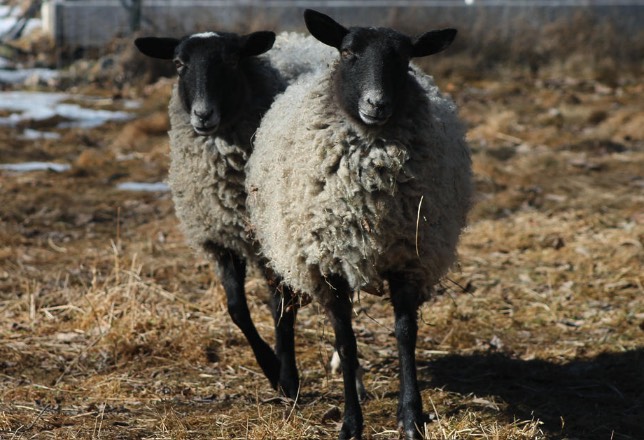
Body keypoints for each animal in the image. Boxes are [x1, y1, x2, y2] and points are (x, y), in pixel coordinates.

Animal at [247, 9, 472, 436]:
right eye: (349, 52)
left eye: (404, 58)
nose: (376, 103)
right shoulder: (327, 263)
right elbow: (346, 340)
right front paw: (351, 422)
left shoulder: (409, 258)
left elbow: (405, 334)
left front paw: (411, 417)